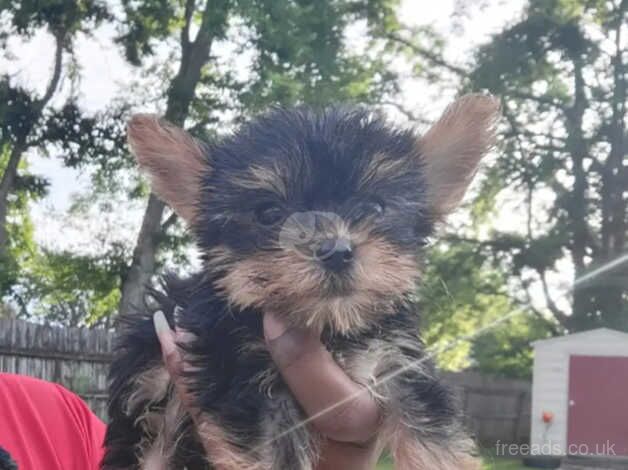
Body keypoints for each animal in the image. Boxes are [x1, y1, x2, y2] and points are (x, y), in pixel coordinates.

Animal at [103, 93, 500, 468]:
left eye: (374, 208)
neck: (329, 329)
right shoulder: (244, 378)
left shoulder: (400, 364)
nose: (336, 250)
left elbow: (434, 437)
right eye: (268, 213)